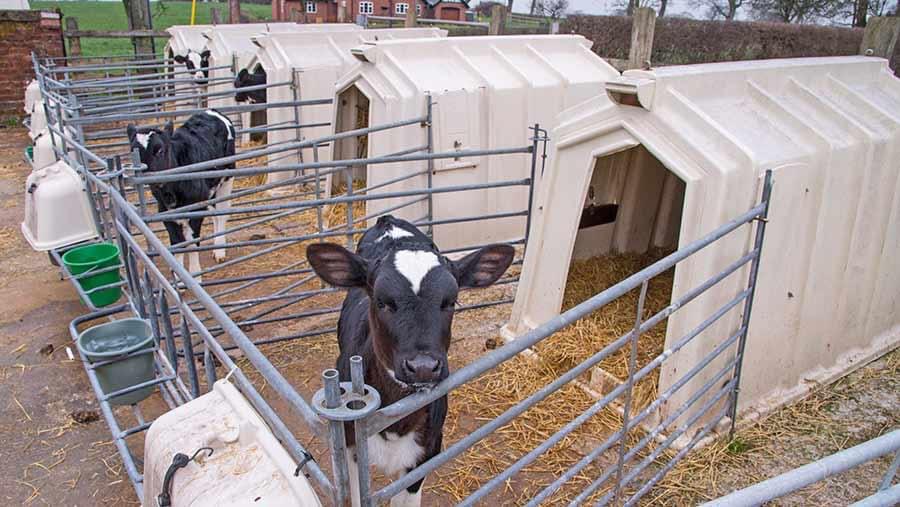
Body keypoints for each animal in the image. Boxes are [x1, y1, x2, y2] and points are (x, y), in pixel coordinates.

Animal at [126, 110, 236, 280]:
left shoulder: (196, 209)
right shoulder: (165, 212)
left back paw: (219, 250)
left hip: (226, 178)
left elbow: (192, 241)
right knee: (215, 214)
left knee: (222, 214)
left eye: (160, 150)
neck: (171, 192)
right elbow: (177, 242)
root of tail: (212, 111)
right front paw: (178, 277)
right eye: (133, 150)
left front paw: (195, 275)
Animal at [306, 215, 515, 507]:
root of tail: (389, 219)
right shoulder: (348, 449)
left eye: (451, 301)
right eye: (381, 302)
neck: (396, 426)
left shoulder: (427, 451)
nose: (423, 367)